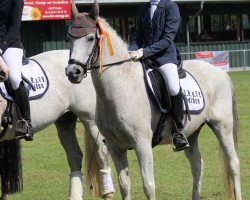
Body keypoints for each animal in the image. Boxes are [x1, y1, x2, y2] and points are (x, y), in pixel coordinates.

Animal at [65, 0, 242, 199]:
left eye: (90, 38)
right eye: (68, 38)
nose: (73, 72)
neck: (120, 87)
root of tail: (220, 72)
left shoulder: (142, 144)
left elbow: (148, 186)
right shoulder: (114, 146)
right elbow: (124, 185)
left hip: (222, 126)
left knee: (233, 163)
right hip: (191, 132)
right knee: (198, 165)